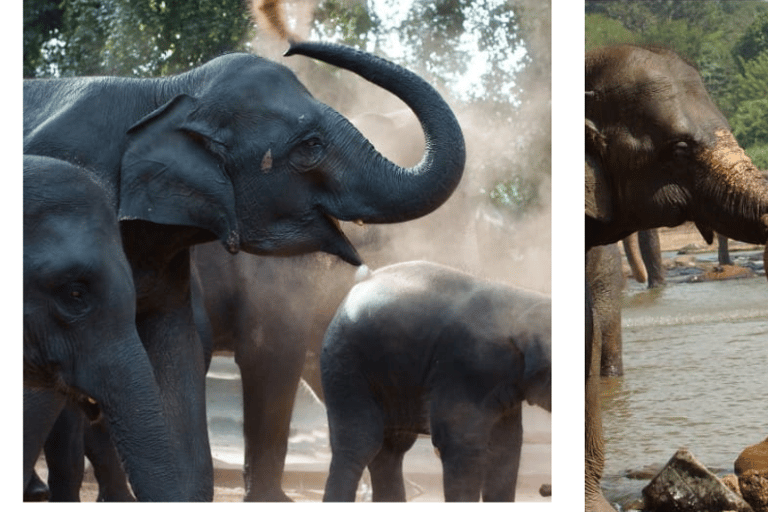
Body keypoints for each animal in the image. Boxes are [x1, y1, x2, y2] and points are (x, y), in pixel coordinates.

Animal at [320, 262, 552, 502]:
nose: (545, 489)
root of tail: (362, 280)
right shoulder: (464, 368)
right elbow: (460, 443)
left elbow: (506, 446)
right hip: (345, 365)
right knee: (359, 443)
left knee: (392, 448)